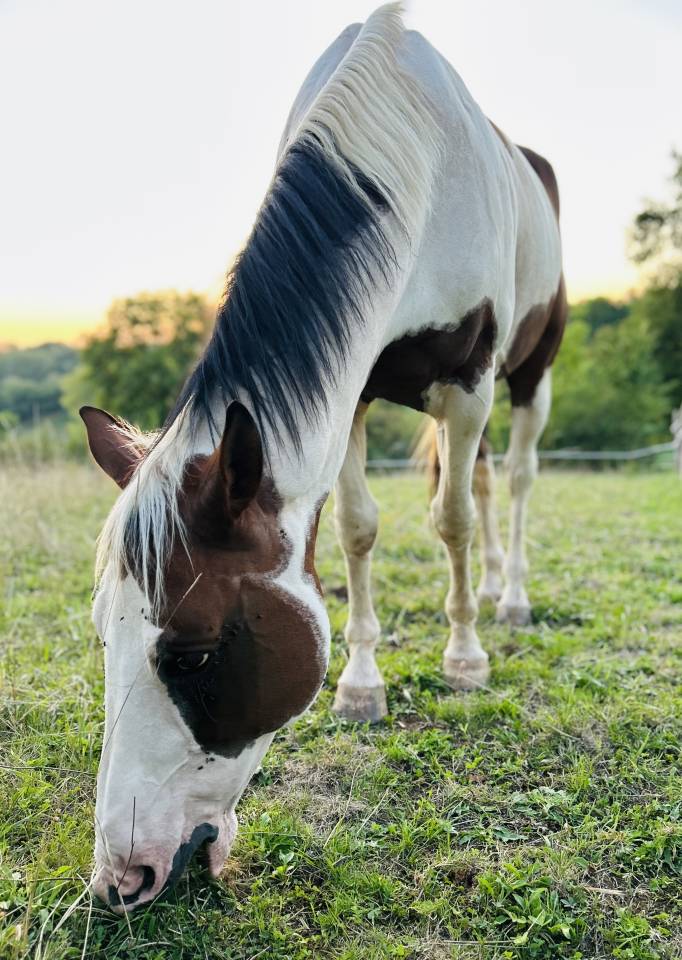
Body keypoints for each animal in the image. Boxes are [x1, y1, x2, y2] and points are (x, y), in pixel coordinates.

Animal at [80, 3, 566, 912]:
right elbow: (358, 530)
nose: (122, 877)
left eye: (194, 654)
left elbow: (447, 520)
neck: (408, 150)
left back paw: (508, 598)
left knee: (513, 482)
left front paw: (465, 657)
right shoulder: (352, 388)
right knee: (485, 483)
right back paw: (489, 588)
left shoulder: (470, 382)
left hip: (528, 376)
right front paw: (363, 683)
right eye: (102, 633)